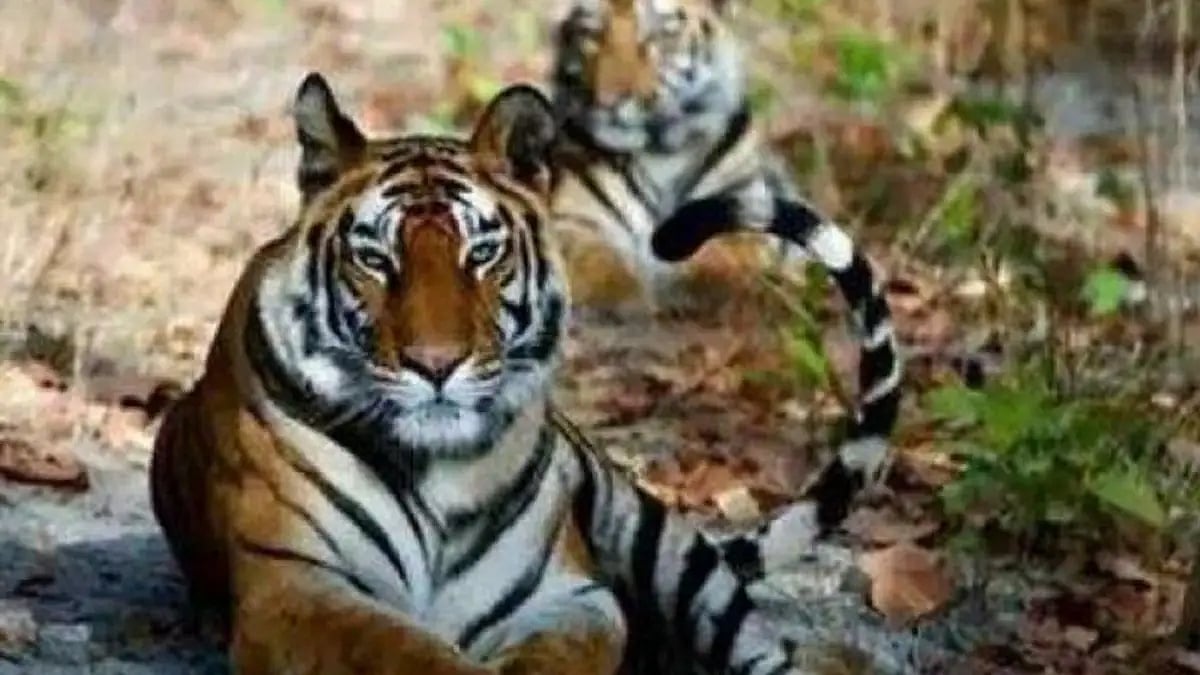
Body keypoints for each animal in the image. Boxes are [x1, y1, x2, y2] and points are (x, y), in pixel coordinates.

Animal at [148, 72, 890, 675]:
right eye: (376, 260)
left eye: (481, 254)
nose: (436, 364)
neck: (439, 473)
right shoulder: (297, 585)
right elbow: (405, 650)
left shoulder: (572, 594)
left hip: (663, 543)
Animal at [549, 0, 902, 485]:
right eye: (591, 32)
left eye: (659, 34)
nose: (612, 101)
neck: (662, 151)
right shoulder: (573, 220)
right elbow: (598, 260)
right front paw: (633, 295)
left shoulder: (746, 206)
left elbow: (727, 257)